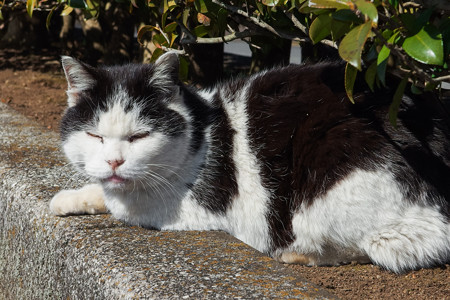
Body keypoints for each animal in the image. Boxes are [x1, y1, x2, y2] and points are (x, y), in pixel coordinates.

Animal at [50, 51, 450, 272]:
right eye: (95, 136)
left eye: (139, 137)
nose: (114, 162)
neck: (201, 137)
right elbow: (106, 192)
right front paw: (70, 197)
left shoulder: (200, 211)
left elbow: (127, 208)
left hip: (337, 165)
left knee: (399, 244)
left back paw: (300, 254)